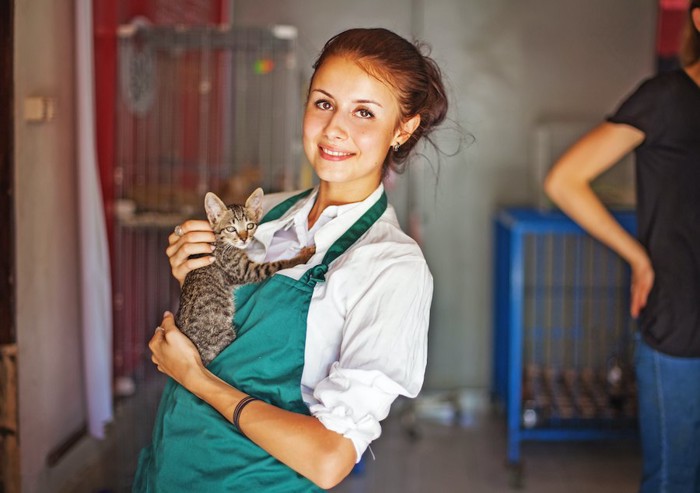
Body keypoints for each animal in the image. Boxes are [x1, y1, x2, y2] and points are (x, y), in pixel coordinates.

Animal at [176, 188, 316, 366]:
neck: (222, 243)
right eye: (231, 229)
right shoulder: (244, 270)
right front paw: (303, 256)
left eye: (250, 226)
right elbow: (276, 265)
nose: (243, 238)